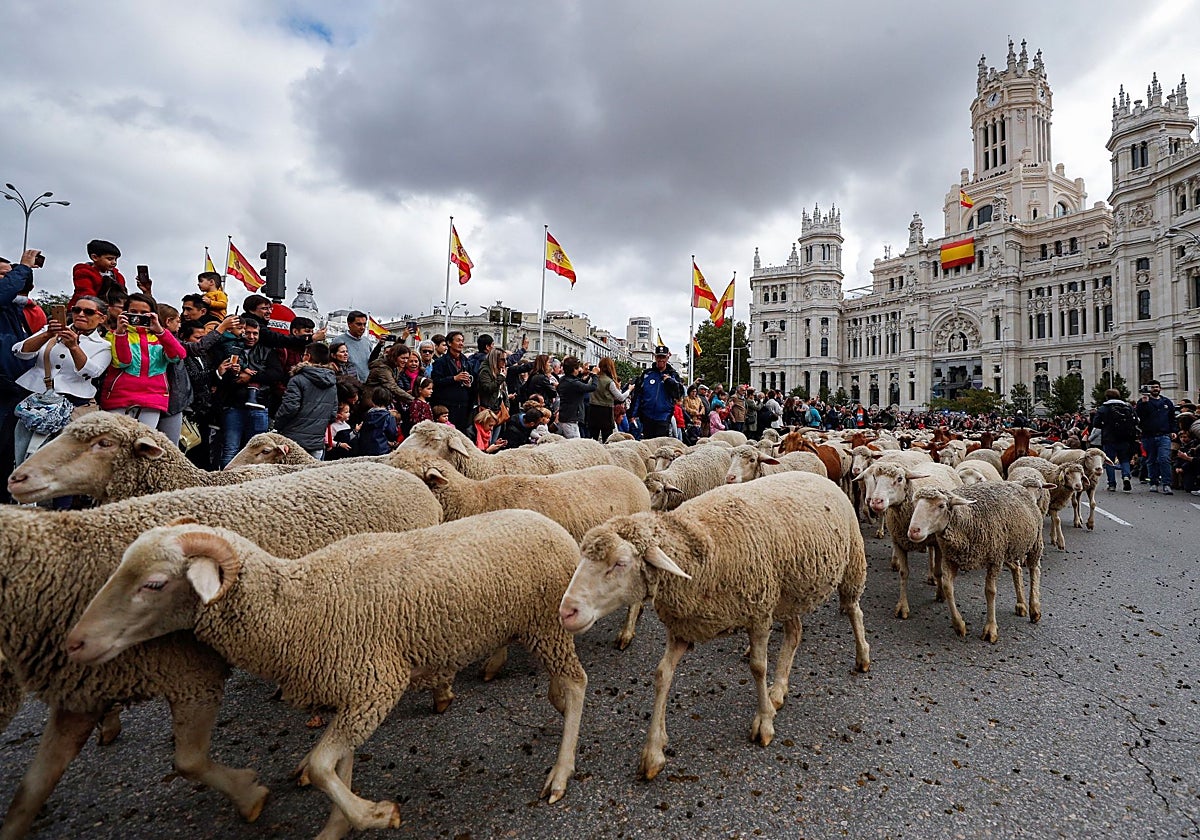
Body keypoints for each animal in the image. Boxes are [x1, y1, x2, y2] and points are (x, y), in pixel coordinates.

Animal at [0, 463, 442, 839]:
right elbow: (32, 787)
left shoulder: (192, 676)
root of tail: (405, 475)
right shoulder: (82, 691)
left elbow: (188, 761)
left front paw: (249, 794)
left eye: (155, 584)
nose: (77, 642)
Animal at [66, 513, 588, 835]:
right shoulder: (351, 688)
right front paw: (340, 824)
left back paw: (560, 772)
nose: (76, 642)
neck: (298, 606)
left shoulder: (376, 684)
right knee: (562, 684)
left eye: (154, 584)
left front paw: (375, 814)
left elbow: (320, 767)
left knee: (578, 684)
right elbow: (339, 765)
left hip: (546, 625)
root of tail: (552, 525)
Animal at [557, 471, 869, 781]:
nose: (566, 611)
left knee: (854, 611)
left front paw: (764, 723)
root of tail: (818, 475)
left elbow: (758, 667)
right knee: (794, 634)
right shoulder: (683, 627)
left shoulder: (759, 612)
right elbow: (662, 675)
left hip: (851, 562)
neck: (699, 548)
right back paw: (778, 690)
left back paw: (862, 657)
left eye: (620, 563)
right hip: (787, 593)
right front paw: (653, 751)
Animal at [857, 460, 962, 618]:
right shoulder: (898, 542)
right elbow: (903, 573)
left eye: (900, 479)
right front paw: (902, 607)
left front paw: (940, 594)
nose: (875, 501)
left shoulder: (938, 543)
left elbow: (939, 571)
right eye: (875, 477)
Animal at [906, 481, 1045, 643]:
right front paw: (959, 625)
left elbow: (990, 591)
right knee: (1017, 569)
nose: (913, 531)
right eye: (914, 504)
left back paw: (1034, 609)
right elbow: (947, 588)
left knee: (1035, 570)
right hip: (1008, 549)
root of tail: (1018, 485)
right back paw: (1021, 604)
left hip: (1034, 542)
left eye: (941, 505)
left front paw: (990, 629)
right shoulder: (951, 558)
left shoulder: (994, 559)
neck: (967, 520)